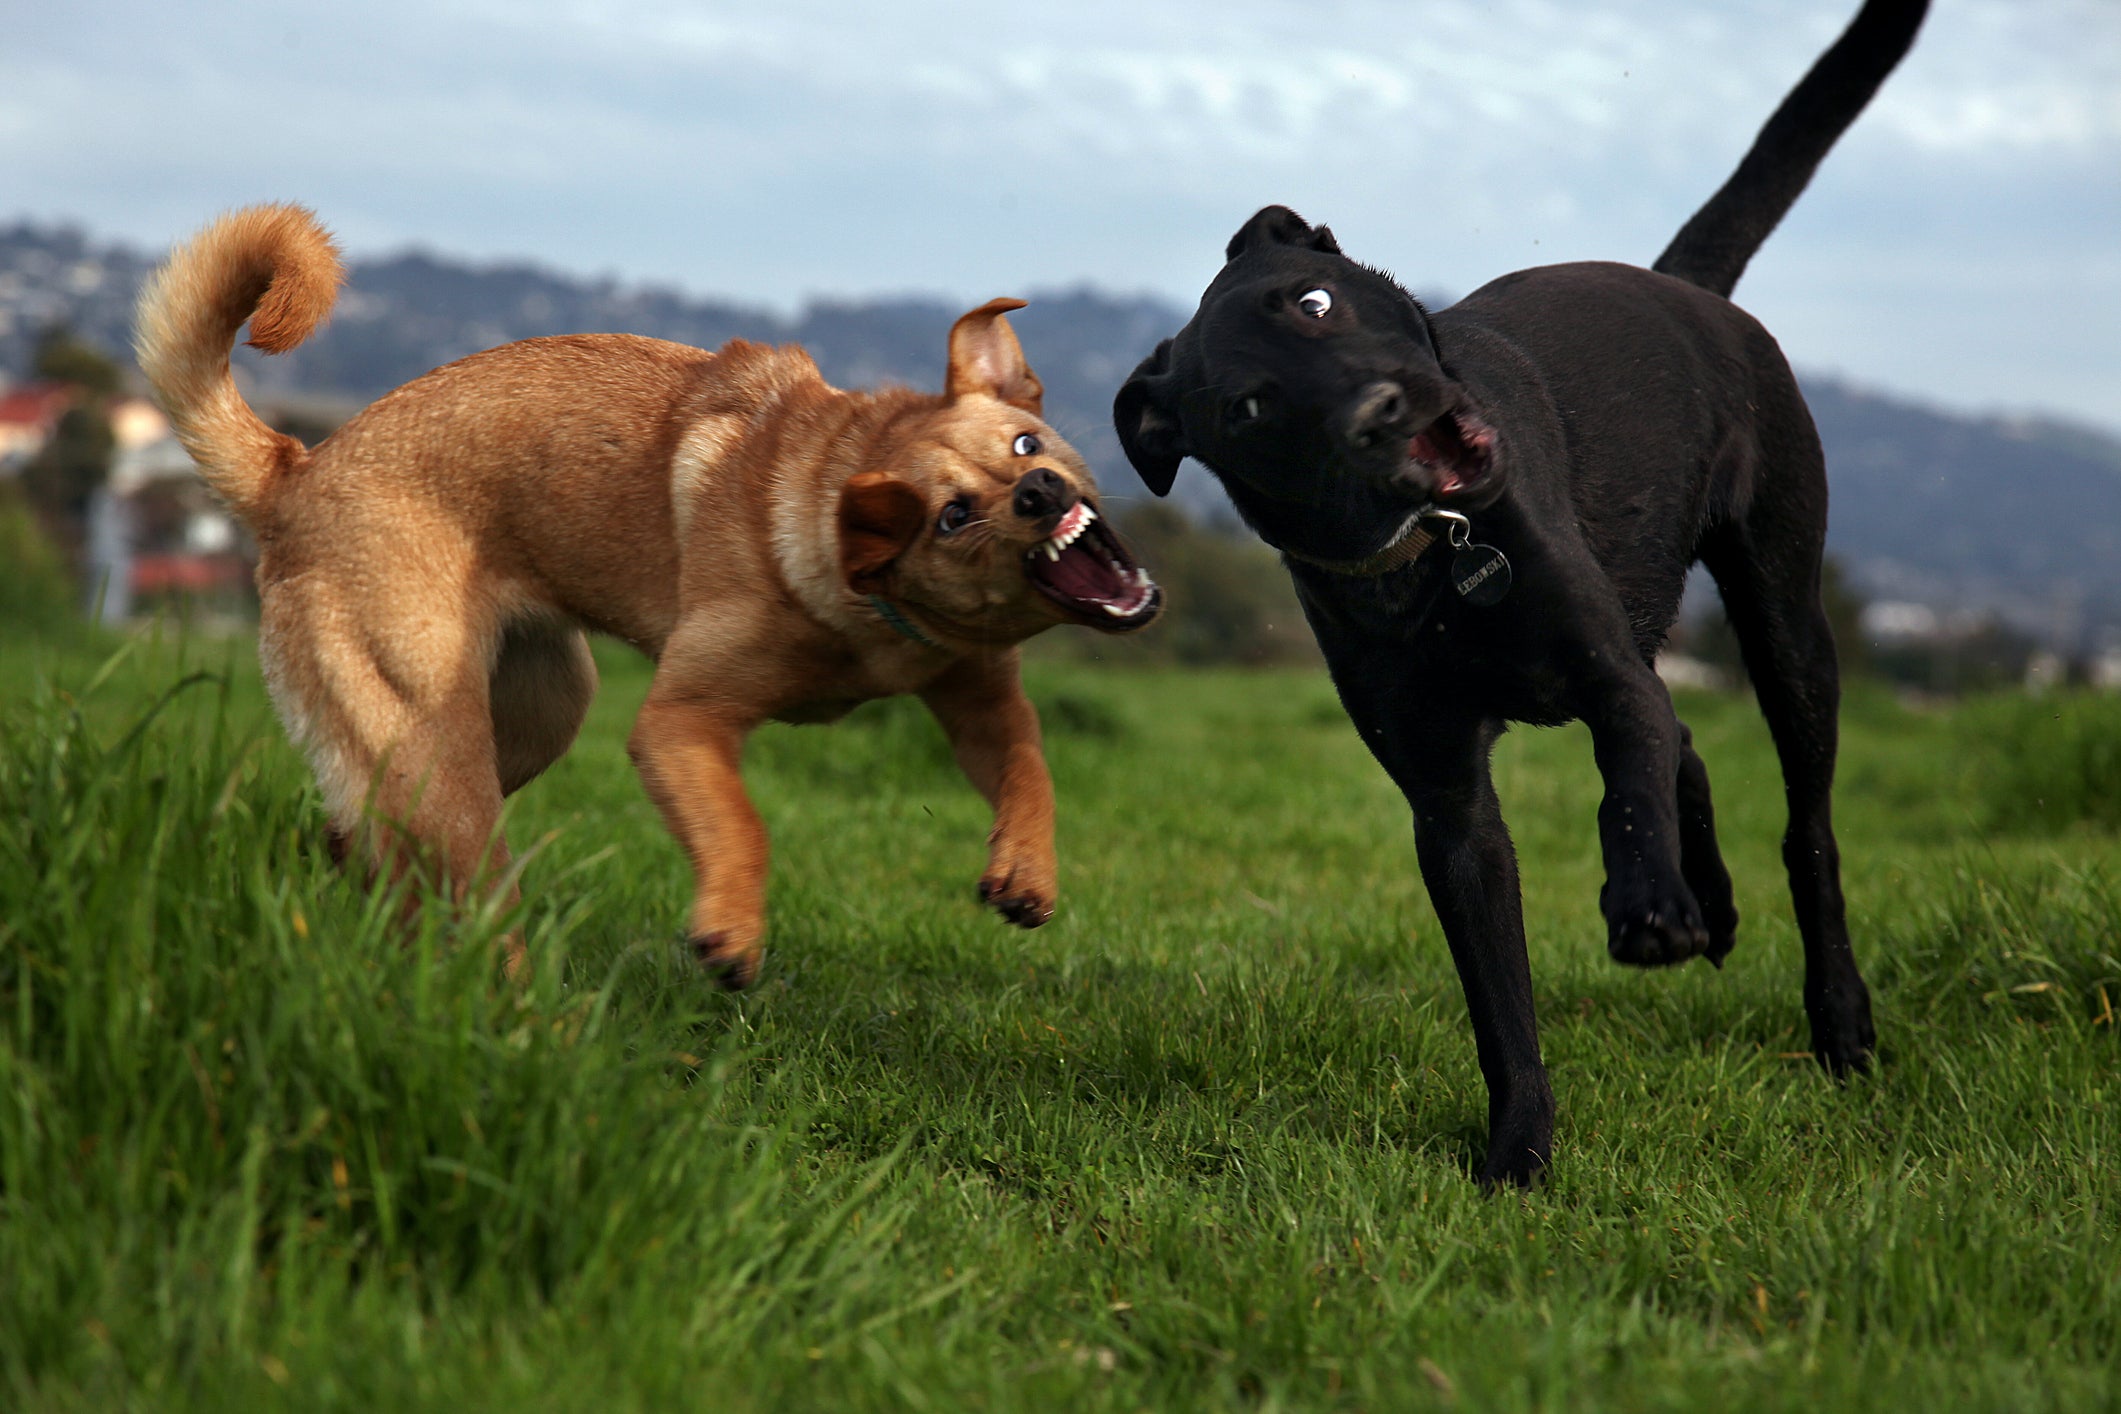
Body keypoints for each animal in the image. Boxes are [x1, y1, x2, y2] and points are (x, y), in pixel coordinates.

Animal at [136, 207, 1162, 983]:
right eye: (952, 516)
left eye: (1028, 443)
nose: (1038, 495)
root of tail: (293, 473)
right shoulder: (681, 721)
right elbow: (741, 825)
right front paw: (730, 933)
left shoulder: (978, 691)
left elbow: (1028, 767)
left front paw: (1024, 872)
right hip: (442, 754)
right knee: (460, 894)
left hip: (537, 711)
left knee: (365, 842)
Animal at [1119, 0, 1934, 1187]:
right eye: (1250, 407)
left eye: (1313, 299)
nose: (1378, 412)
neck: (1438, 562)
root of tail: (1684, 285)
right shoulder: (1448, 806)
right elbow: (1499, 998)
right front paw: (1517, 1154)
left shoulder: (1605, 677)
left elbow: (1626, 787)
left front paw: (1649, 905)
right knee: (1688, 735)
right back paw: (1717, 903)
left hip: (1786, 617)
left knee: (1805, 828)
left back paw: (1835, 1017)